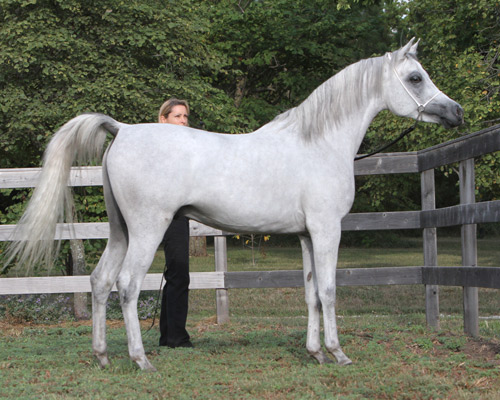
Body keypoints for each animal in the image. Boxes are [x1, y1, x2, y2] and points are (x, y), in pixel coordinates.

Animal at [7, 39, 462, 370]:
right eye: (415, 77)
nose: (455, 112)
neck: (318, 143)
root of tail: (123, 130)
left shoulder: (306, 235)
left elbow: (311, 292)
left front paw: (315, 352)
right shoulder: (326, 229)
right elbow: (330, 290)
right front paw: (338, 353)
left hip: (121, 231)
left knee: (100, 282)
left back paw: (102, 357)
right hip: (147, 230)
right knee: (128, 285)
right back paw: (141, 360)